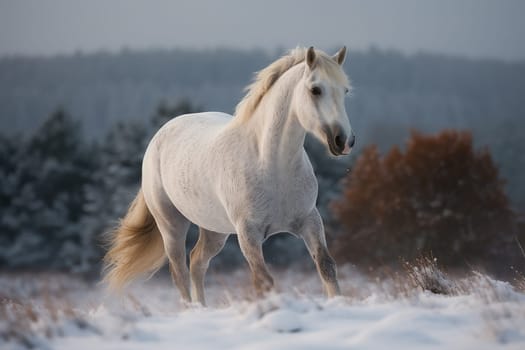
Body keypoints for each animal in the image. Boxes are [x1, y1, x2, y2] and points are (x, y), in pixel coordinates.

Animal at [104, 47, 354, 306]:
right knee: (179, 271)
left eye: (345, 90)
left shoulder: (310, 221)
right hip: (171, 224)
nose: (344, 141)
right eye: (315, 89)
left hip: (215, 230)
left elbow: (326, 267)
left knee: (197, 262)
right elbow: (263, 280)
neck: (271, 165)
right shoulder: (248, 233)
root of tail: (159, 137)